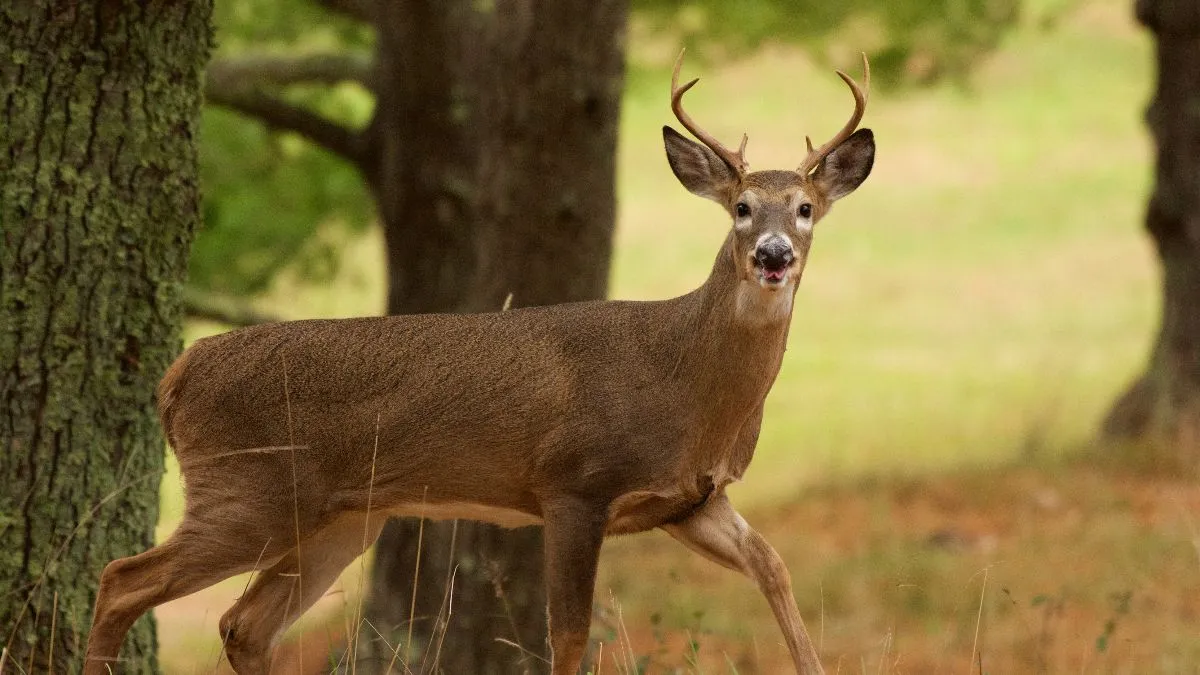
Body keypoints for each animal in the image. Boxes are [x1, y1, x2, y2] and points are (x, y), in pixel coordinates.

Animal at [84, 48, 873, 672]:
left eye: (805, 207)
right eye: (740, 208)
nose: (772, 255)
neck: (688, 382)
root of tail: (177, 374)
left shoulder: (693, 500)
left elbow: (775, 569)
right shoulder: (574, 483)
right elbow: (567, 636)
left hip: (339, 516)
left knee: (241, 624)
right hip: (246, 488)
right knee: (121, 579)